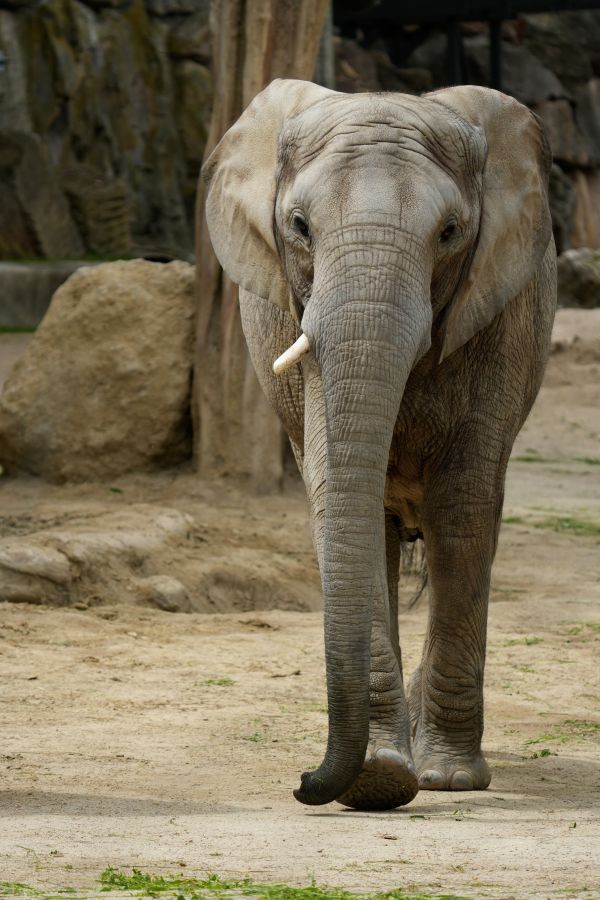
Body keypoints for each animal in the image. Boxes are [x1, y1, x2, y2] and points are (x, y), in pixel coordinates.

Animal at [202, 79, 556, 811]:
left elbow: (464, 507)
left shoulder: (501, 320)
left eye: (449, 233)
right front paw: (380, 780)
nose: (304, 782)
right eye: (299, 227)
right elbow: (344, 500)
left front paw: (446, 780)